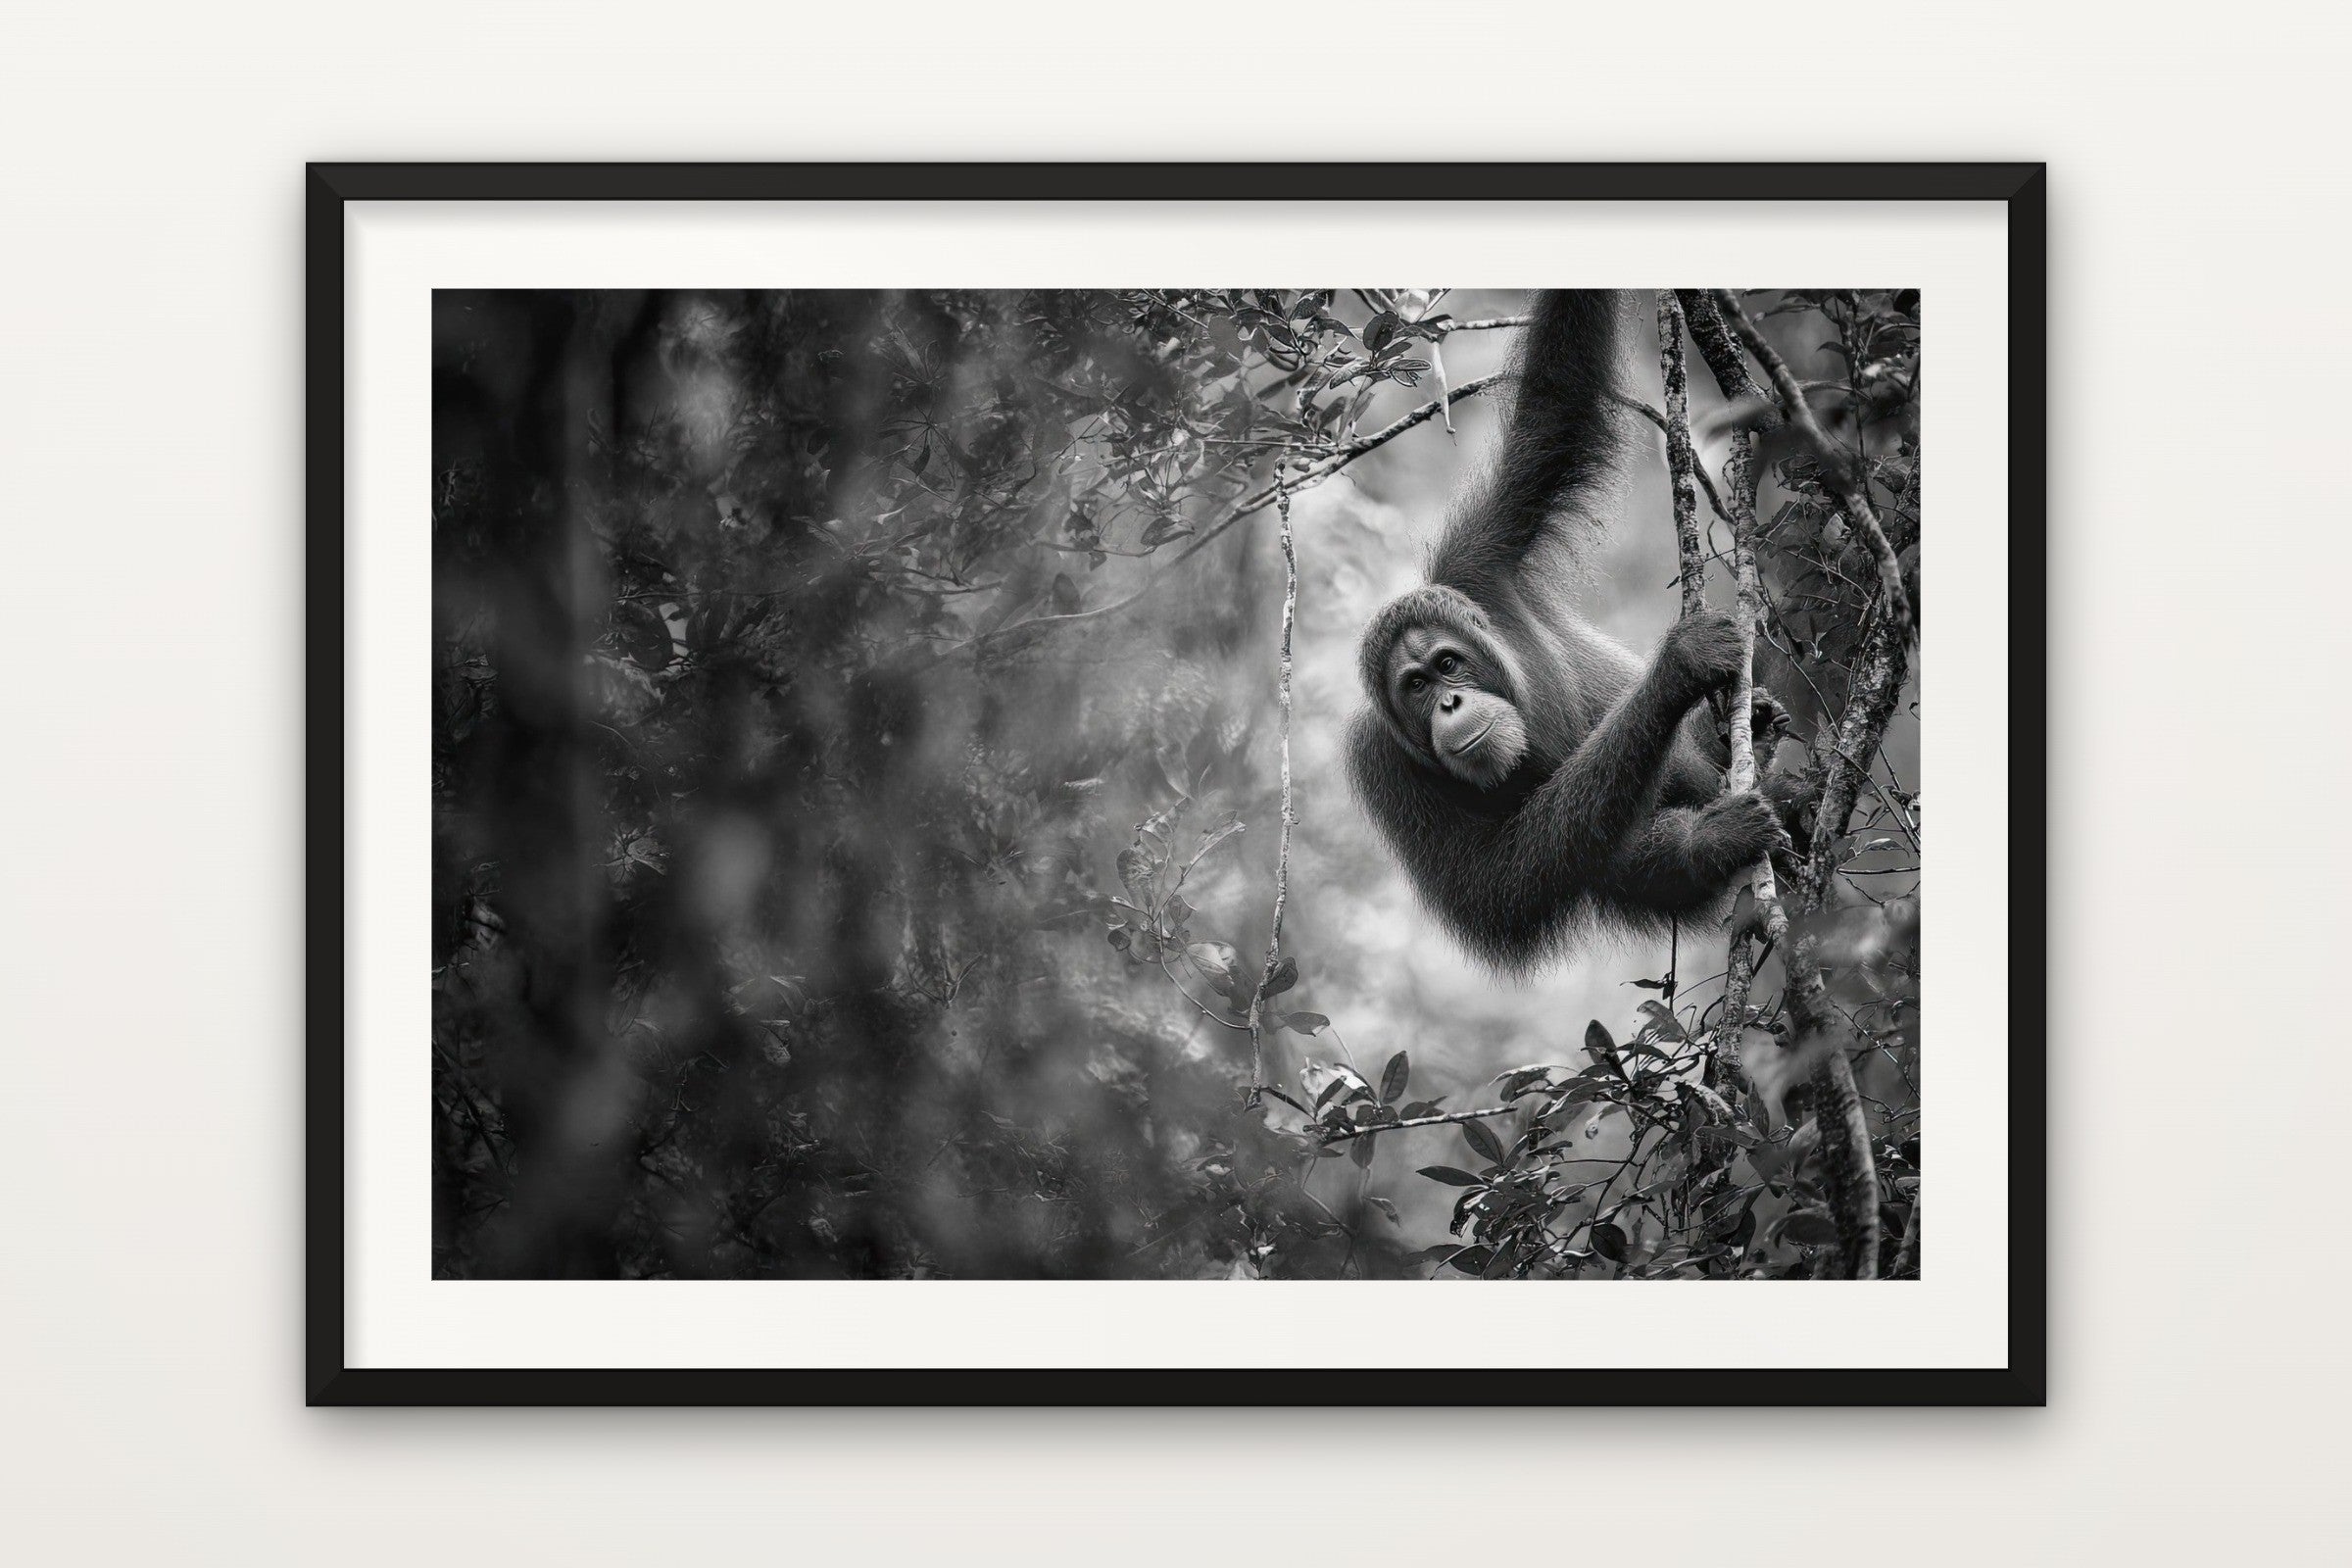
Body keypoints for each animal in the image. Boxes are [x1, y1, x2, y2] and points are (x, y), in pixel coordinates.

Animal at [1348, 290, 1813, 970]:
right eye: (1415, 687)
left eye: (1447, 664)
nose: (1450, 702)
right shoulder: (1378, 763)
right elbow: (1496, 885)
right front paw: (1679, 668)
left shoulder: (1476, 561)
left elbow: (1556, 408)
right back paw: (1716, 834)